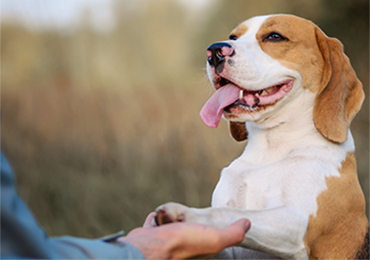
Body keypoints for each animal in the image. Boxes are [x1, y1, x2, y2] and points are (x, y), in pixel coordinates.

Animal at [153, 14, 368, 260]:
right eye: (233, 37)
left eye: (275, 36)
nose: (214, 51)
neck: (270, 148)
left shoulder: (295, 223)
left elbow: (229, 213)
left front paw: (187, 215)